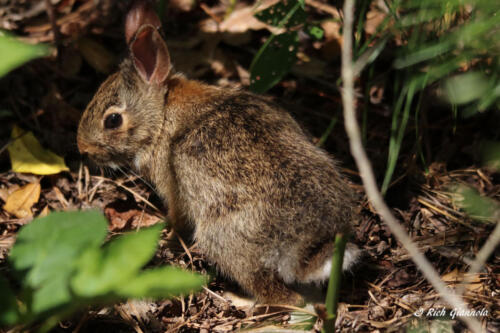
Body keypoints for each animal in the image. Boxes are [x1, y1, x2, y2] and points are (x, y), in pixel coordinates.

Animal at [77, 0, 360, 306]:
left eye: (112, 120)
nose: (83, 148)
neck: (161, 115)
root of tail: (307, 243)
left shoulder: (174, 190)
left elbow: (177, 217)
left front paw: (166, 233)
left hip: (225, 241)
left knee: (277, 292)